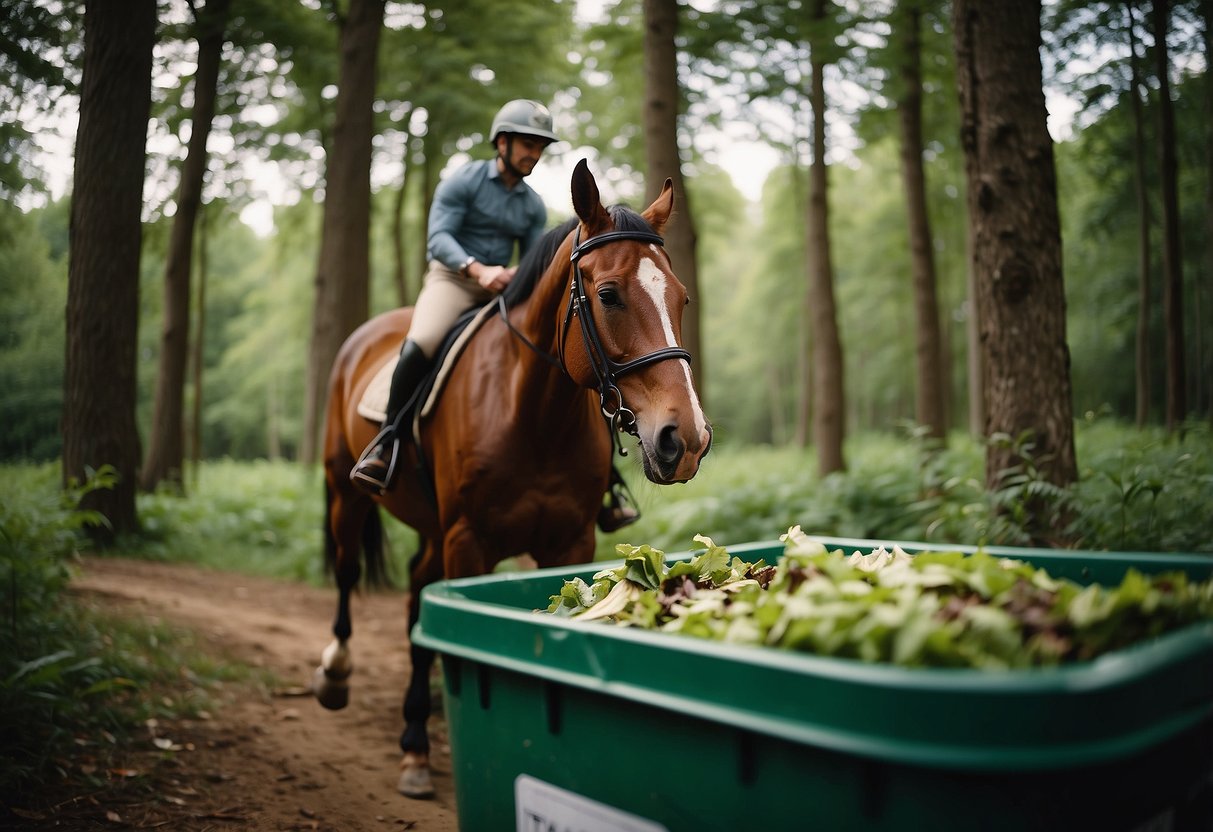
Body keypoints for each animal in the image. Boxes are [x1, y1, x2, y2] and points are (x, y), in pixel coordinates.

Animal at [312, 157, 713, 800]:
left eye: (681, 297)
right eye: (607, 295)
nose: (687, 439)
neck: (533, 413)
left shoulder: (568, 542)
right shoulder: (468, 540)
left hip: (432, 529)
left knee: (415, 596)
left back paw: (414, 737)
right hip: (348, 495)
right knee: (349, 572)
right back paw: (337, 676)